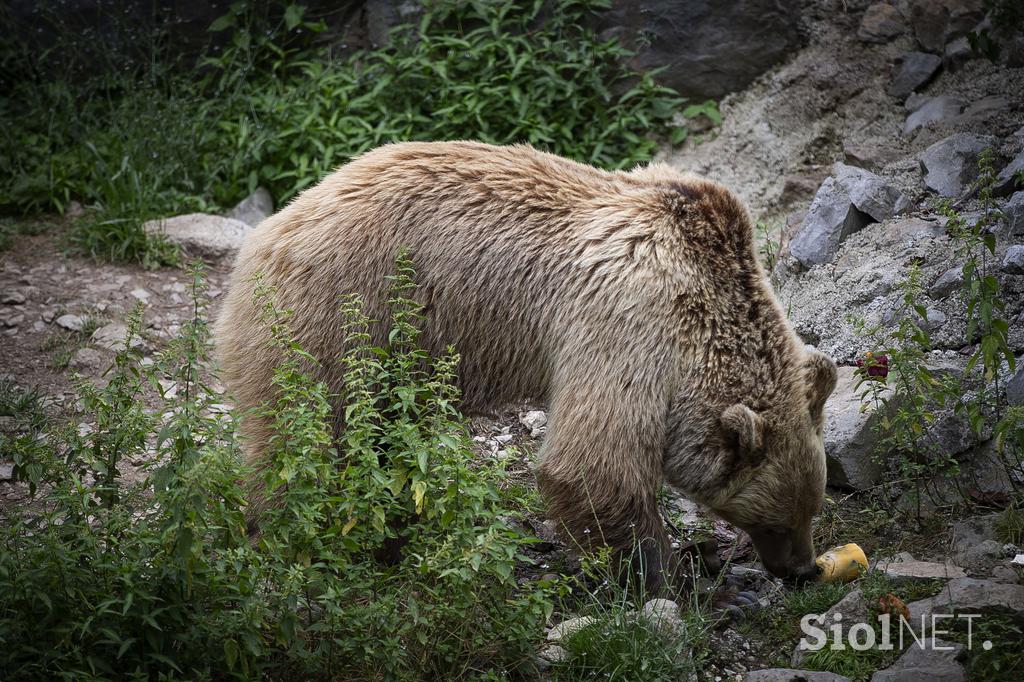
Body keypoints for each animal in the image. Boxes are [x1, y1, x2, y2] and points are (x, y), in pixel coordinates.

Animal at [211, 139, 835, 589]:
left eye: (813, 506)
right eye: (777, 520)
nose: (804, 569)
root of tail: (267, 234)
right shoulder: (627, 322)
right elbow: (590, 466)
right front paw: (672, 579)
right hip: (342, 316)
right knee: (312, 438)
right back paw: (292, 537)